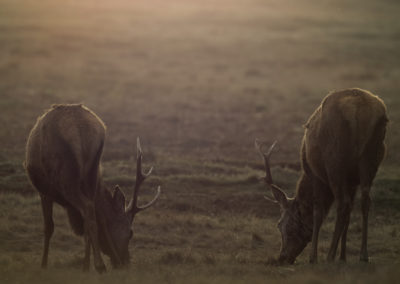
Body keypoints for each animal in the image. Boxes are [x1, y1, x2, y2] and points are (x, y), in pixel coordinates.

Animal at [23, 104, 159, 272]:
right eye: (131, 233)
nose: (125, 262)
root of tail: (81, 130)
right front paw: (86, 264)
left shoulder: (44, 192)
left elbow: (48, 227)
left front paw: (43, 264)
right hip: (92, 173)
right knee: (92, 211)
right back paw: (91, 265)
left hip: (66, 177)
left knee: (86, 207)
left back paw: (99, 265)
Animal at [256, 88, 388, 264]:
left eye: (281, 224)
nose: (282, 257)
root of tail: (359, 111)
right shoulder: (352, 182)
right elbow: (349, 214)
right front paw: (343, 256)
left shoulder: (316, 176)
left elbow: (318, 212)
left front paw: (314, 257)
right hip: (371, 157)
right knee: (365, 201)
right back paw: (363, 255)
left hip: (335, 161)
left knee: (342, 203)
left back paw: (330, 255)